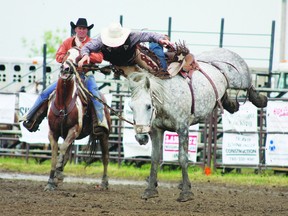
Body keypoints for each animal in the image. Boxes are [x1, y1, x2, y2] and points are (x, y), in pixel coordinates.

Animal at [44, 53, 111, 192]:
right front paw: (51, 182)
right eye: (66, 54)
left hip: (104, 135)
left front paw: (58, 170)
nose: (65, 69)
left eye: (79, 58)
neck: (62, 103)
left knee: (105, 157)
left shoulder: (74, 130)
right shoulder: (52, 132)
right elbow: (55, 155)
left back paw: (104, 183)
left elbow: (62, 148)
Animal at [127, 48, 266, 202]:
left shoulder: (182, 129)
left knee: (249, 85)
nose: (140, 137)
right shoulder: (156, 130)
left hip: (240, 79)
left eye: (148, 106)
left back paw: (261, 99)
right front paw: (150, 190)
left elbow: (183, 158)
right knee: (225, 97)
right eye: (131, 107)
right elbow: (155, 158)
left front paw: (186, 192)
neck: (166, 96)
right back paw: (232, 105)